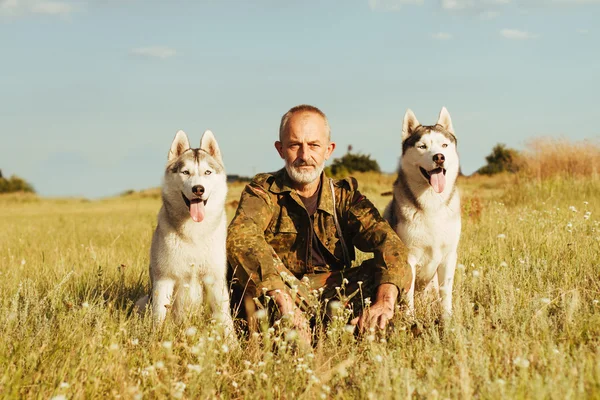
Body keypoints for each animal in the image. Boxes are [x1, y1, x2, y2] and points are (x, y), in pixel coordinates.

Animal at [137, 130, 236, 338]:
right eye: (185, 172)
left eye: (207, 172)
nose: (198, 189)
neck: (194, 233)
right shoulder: (164, 279)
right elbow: (159, 317)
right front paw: (156, 340)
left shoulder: (215, 280)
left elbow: (225, 319)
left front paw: (233, 344)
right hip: (142, 301)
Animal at [382, 107, 462, 318]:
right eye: (422, 146)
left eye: (444, 144)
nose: (439, 157)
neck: (432, 203)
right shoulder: (408, 258)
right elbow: (408, 295)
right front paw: (410, 320)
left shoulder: (449, 256)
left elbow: (446, 292)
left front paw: (448, 319)